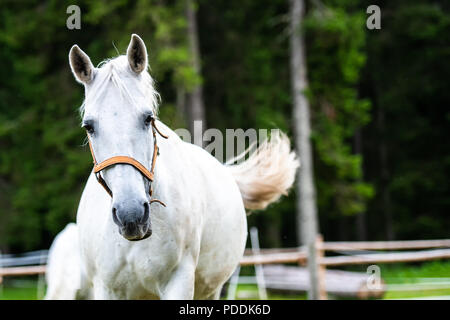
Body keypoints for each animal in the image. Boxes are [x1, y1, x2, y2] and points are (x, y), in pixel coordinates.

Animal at [67, 33, 298, 298]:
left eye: (148, 118)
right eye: (89, 126)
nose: (131, 215)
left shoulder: (178, 282)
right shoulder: (106, 288)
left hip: (211, 290)